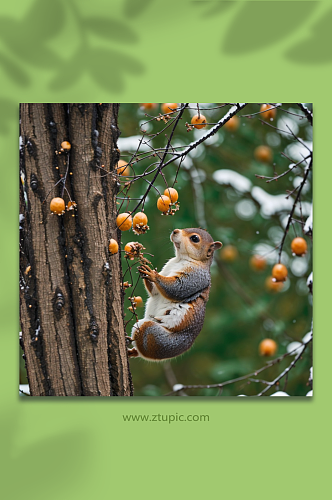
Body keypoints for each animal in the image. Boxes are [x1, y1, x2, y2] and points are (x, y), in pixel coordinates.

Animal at [128, 229, 222, 362]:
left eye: (195, 238)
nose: (175, 231)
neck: (180, 259)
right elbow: (155, 291)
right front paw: (144, 266)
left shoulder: (196, 276)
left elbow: (176, 288)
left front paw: (153, 274)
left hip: (157, 337)